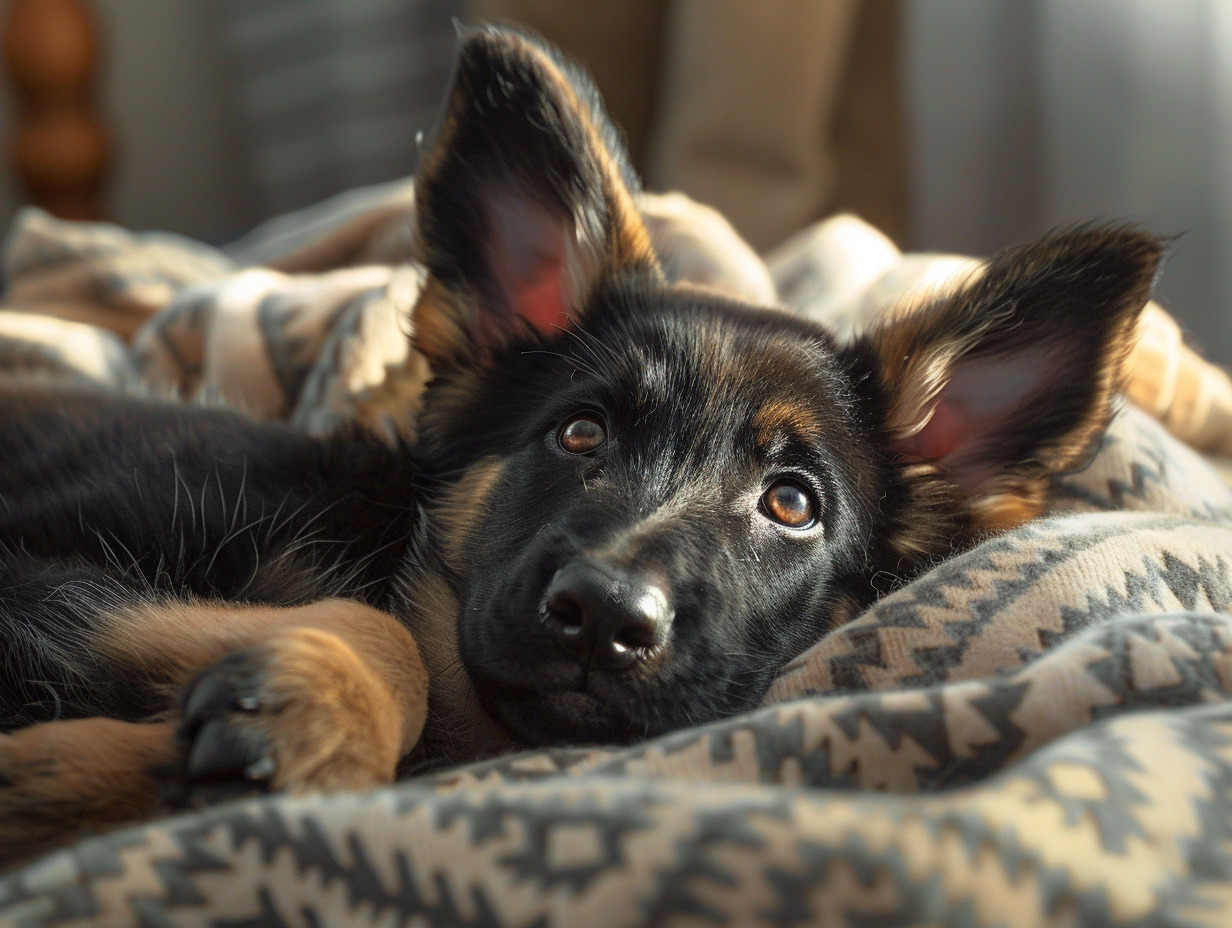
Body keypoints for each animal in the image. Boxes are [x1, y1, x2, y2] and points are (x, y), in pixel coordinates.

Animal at [0, 25, 1158, 867]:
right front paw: (304, 707)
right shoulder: (39, 562)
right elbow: (389, 634)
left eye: (791, 503)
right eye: (580, 431)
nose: (604, 615)